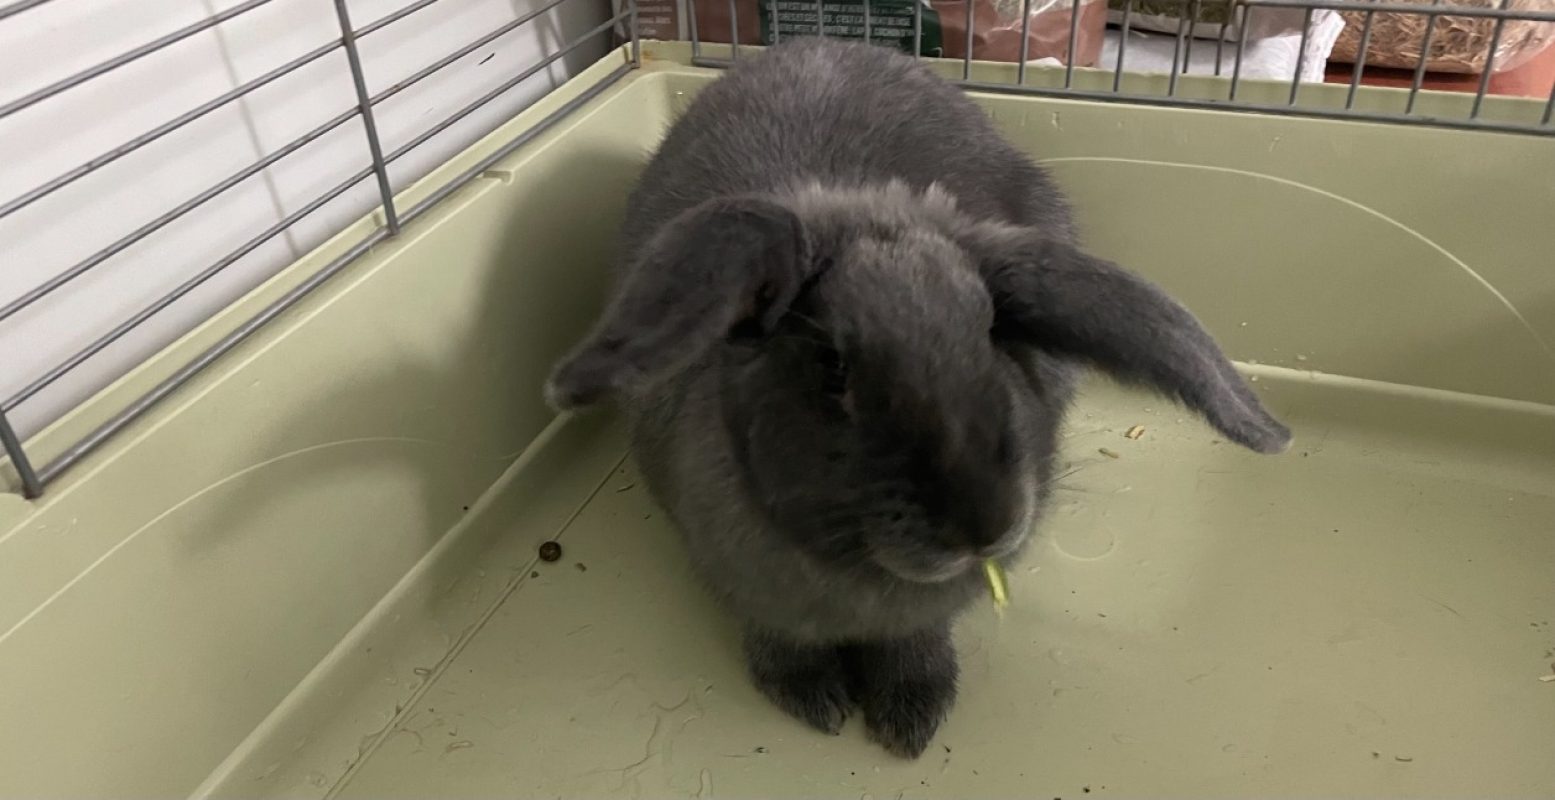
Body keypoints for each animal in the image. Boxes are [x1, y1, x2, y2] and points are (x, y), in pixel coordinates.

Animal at [545, 38, 1291, 759]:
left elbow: (914, 645)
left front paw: (911, 717)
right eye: (833, 366)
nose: (983, 526)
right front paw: (813, 700)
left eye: (992, 335)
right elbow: (781, 639)